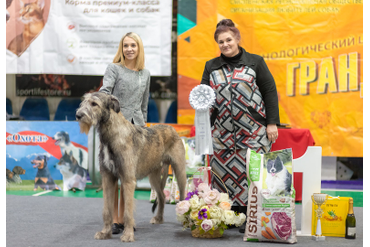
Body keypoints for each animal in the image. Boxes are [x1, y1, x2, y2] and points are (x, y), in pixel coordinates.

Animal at [76, 92, 188, 241]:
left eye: (94, 103)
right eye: (84, 102)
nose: (78, 115)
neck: (112, 135)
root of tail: (172, 128)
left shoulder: (128, 180)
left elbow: (128, 212)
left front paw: (128, 234)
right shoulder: (107, 178)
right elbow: (107, 210)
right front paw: (105, 232)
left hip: (179, 170)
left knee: (183, 194)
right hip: (153, 175)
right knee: (162, 196)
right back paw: (158, 218)